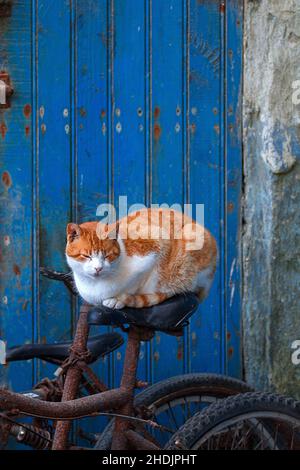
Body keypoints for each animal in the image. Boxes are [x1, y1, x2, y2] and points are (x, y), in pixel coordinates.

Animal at [65, 208, 217, 310]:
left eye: (107, 255)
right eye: (86, 256)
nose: (98, 268)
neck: (94, 286)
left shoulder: (156, 246)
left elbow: (135, 285)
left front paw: (118, 300)